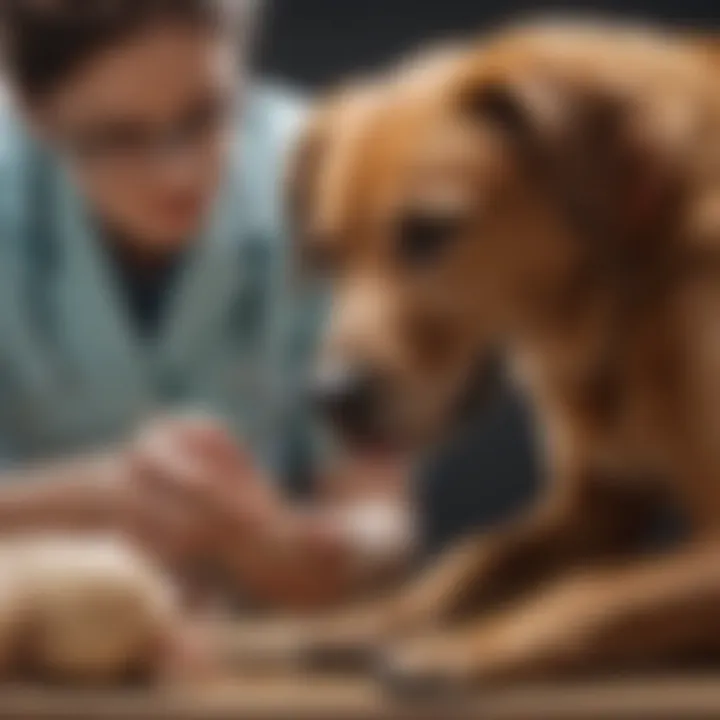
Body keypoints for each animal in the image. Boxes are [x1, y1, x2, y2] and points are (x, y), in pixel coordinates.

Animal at [249, 19, 720, 688]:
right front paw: (358, 624)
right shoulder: (590, 508)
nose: (331, 400)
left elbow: (598, 590)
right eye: (328, 250)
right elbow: (472, 558)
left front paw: (466, 647)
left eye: (428, 232)